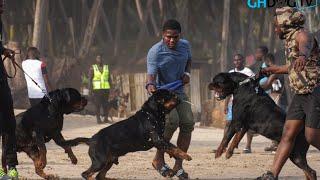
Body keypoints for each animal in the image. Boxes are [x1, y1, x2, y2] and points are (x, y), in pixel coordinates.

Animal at [62, 89, 192, 179]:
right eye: (170, 95)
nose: (178, 97)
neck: (152, 113)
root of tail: (91, 139)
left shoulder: (160, 140)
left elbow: (171, 148)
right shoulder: (158, 140)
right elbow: (174, 147)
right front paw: (186, 155)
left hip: (109, 161)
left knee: (100, 176)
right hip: (100, 161)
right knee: (86, 174)